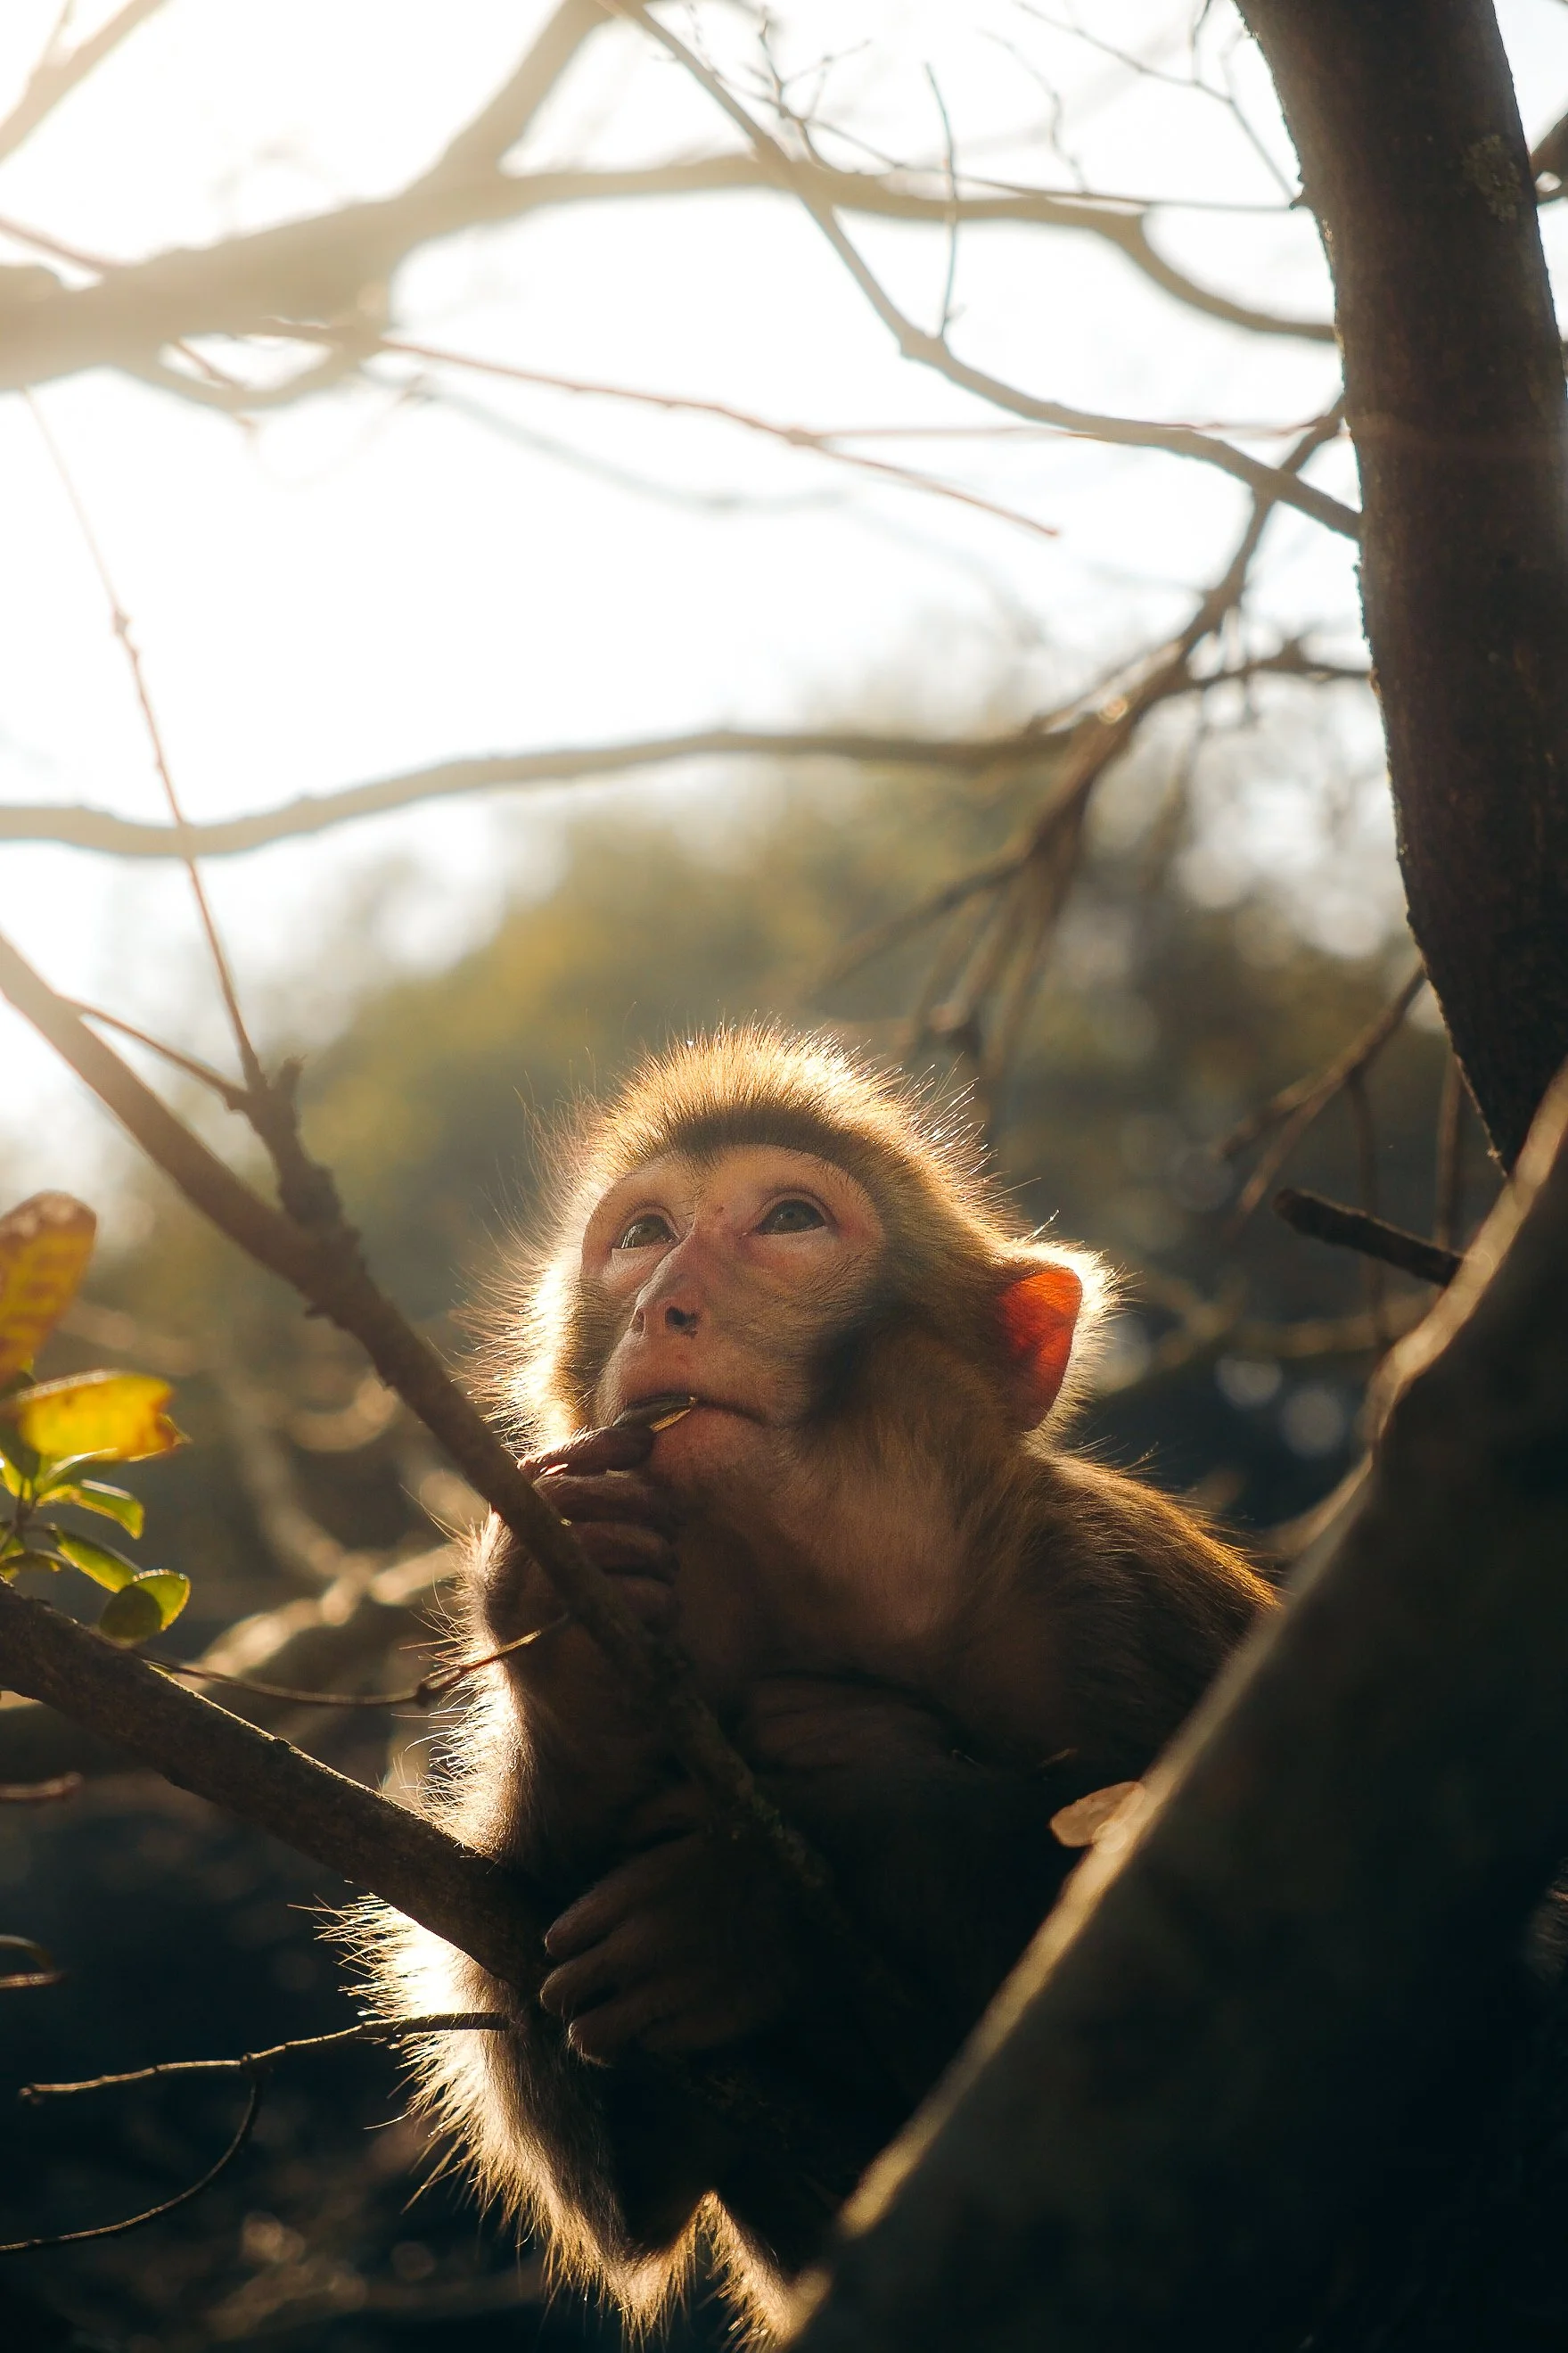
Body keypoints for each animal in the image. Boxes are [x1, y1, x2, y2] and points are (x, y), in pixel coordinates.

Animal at [365, 1025, 1275, 2337]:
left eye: (789, 1218)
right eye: (642, 1232)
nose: (663, 1301)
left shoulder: (1112, 1588)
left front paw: (766, 1894)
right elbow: (639, 2179)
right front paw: (568, 1641)